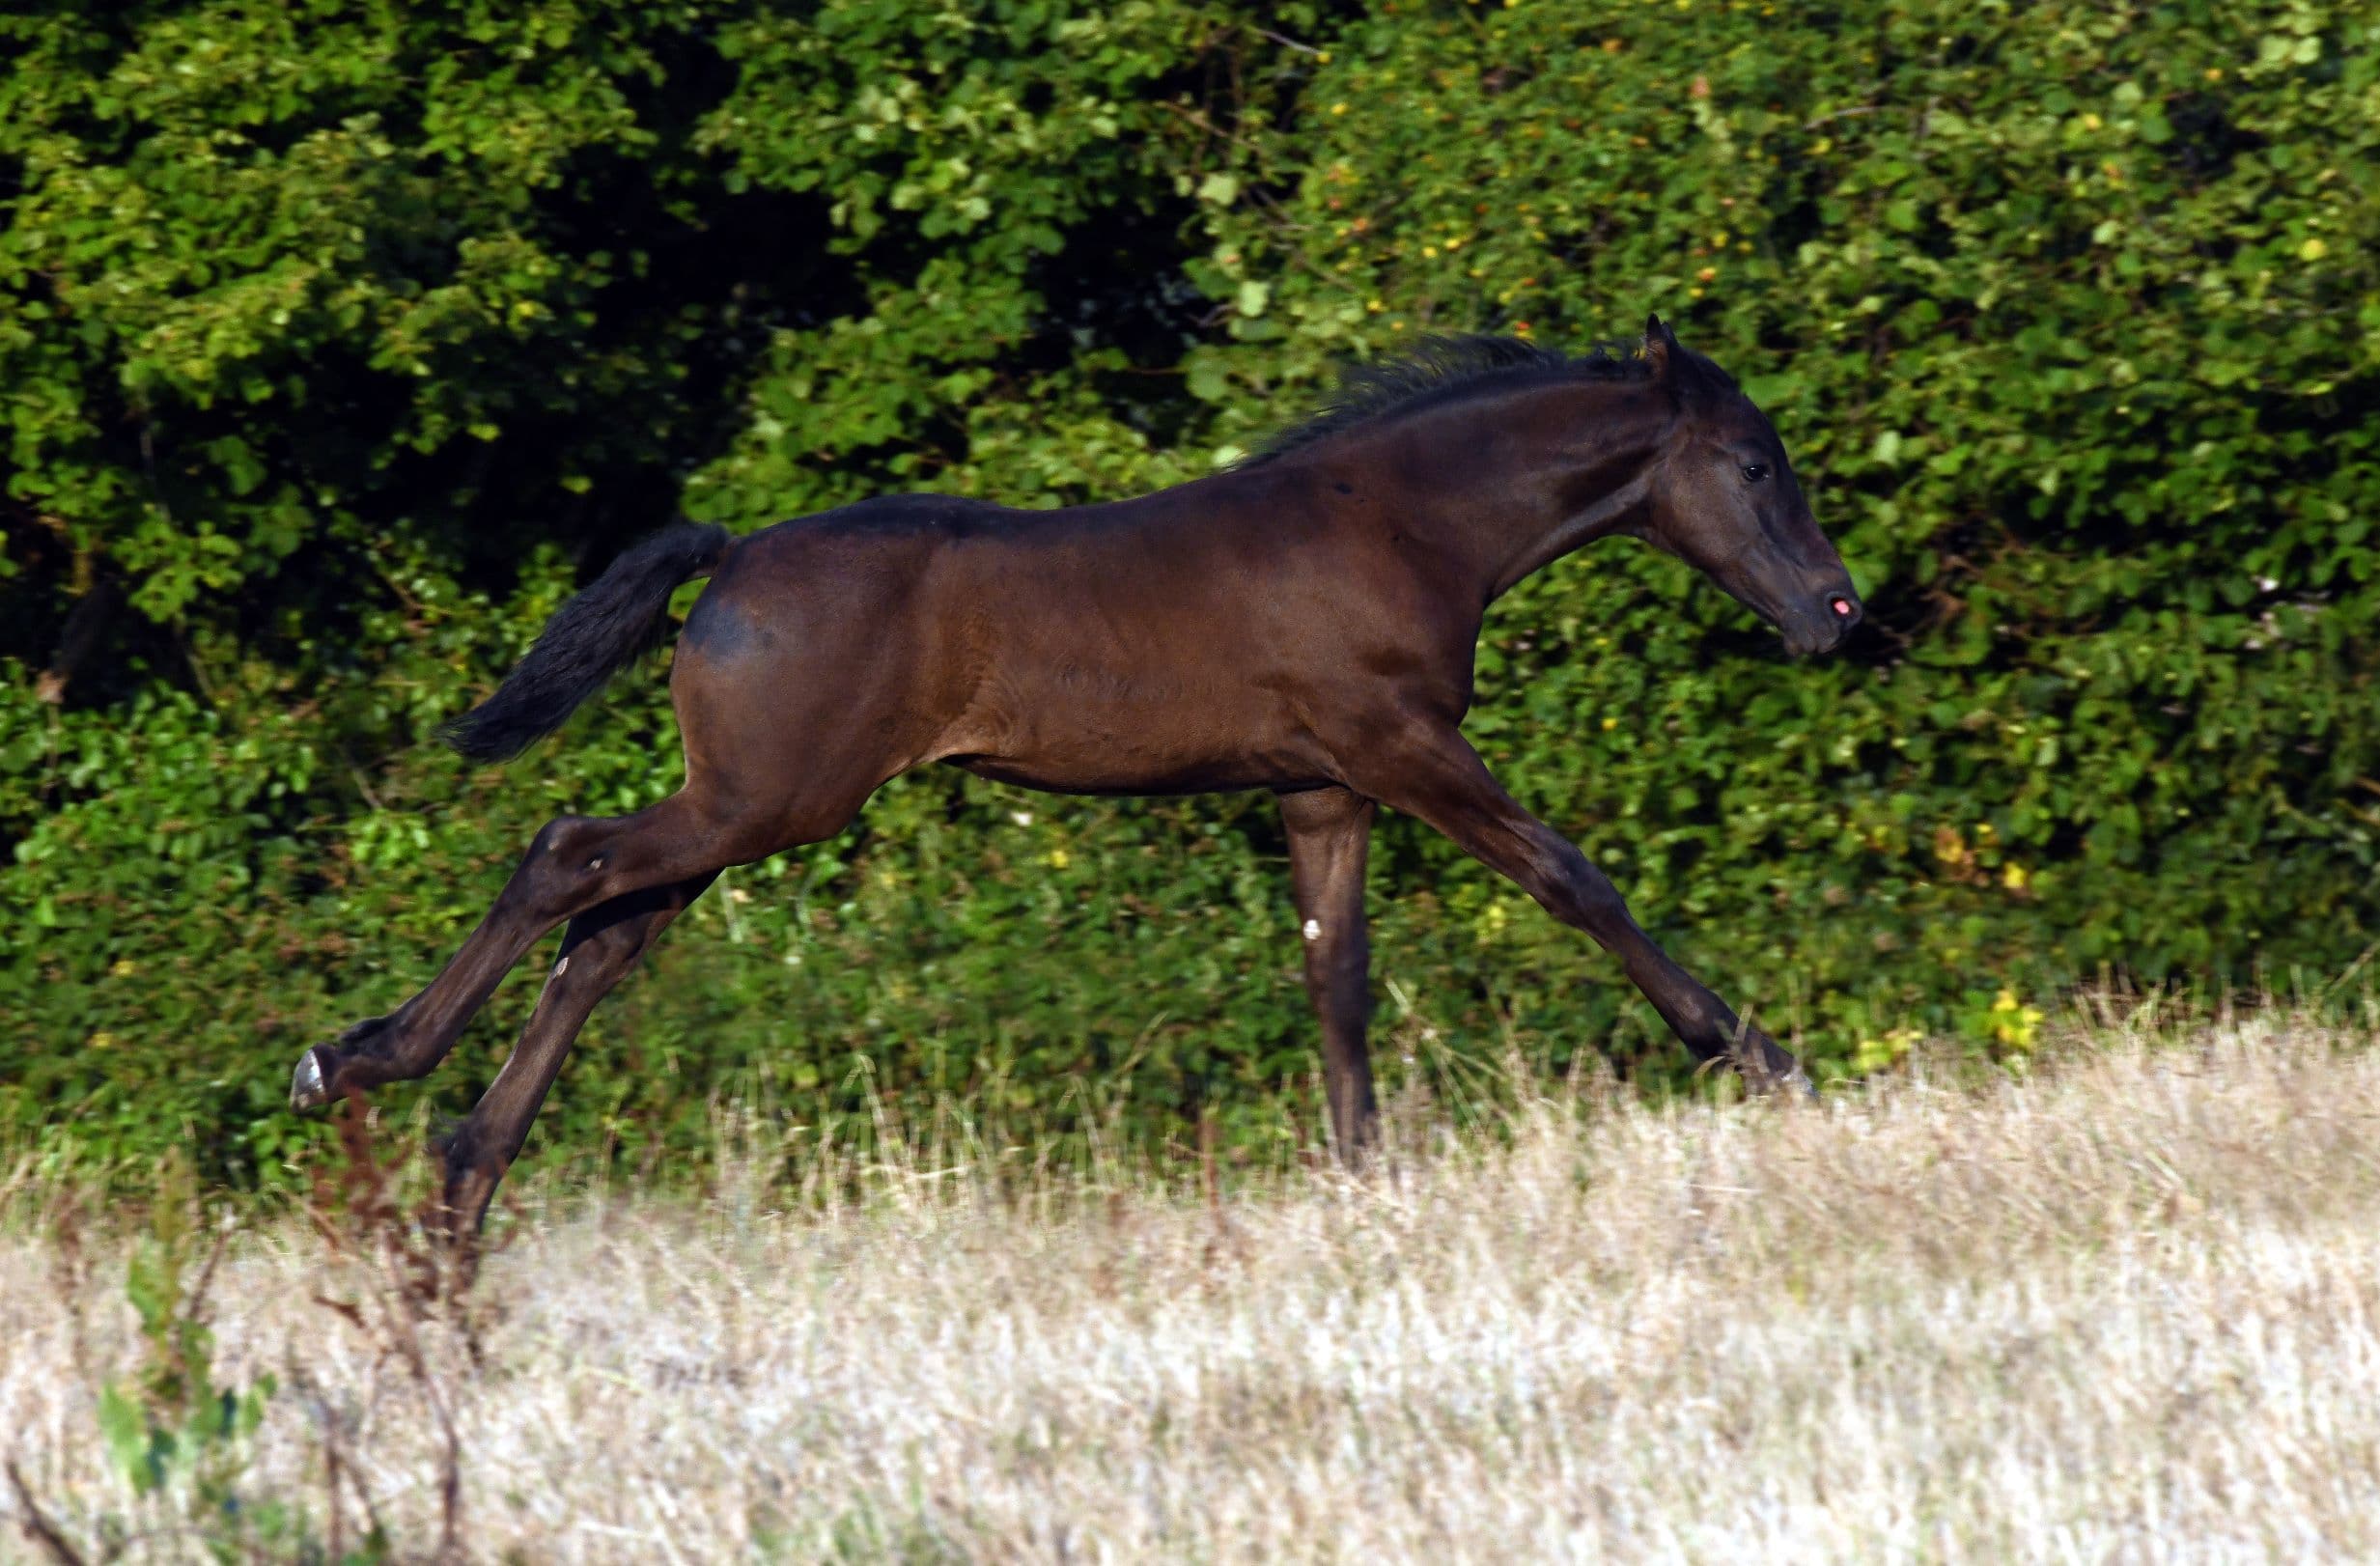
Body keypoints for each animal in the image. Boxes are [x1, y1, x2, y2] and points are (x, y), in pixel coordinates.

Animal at [291, 316, 1862, 1234]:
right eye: (1753, 460)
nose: (1836, 611)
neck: (1399, 522)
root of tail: (727, 560)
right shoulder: (1401, 746)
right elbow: (1574, 877)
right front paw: (1760, 1056)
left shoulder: (1319, 784)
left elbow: (1335, 970)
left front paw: (1361, 1173)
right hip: (769, 799)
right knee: (567, 858)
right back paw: (357, 1063)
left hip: (738, 812)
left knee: (602, 940)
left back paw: (461, 1175)